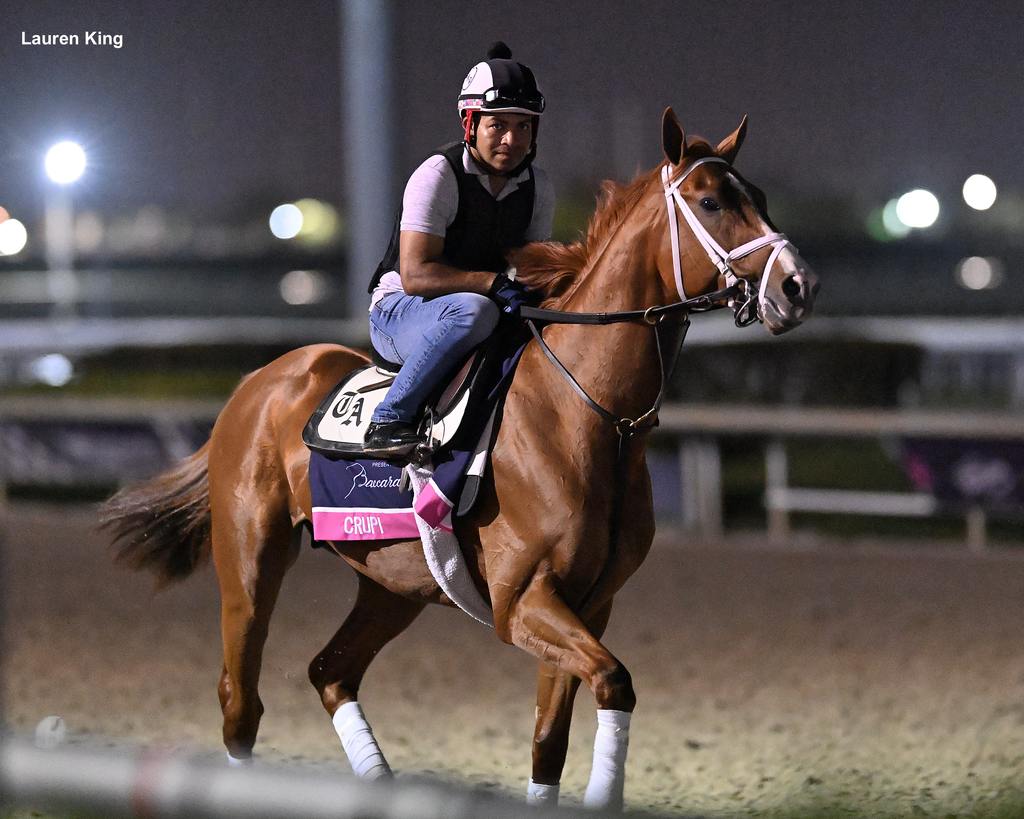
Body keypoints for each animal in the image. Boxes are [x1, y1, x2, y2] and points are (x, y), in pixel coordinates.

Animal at [99, 110, 819, 810]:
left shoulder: (590, 603)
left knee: (331, 671)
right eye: (710, 200)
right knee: (240, 701)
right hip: (251, 562)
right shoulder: (521, 601)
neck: (586, 414)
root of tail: (255, 383)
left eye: (758, 197)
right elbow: (615, 680)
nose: (798, 285)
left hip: (391, 582)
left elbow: (550, 739)